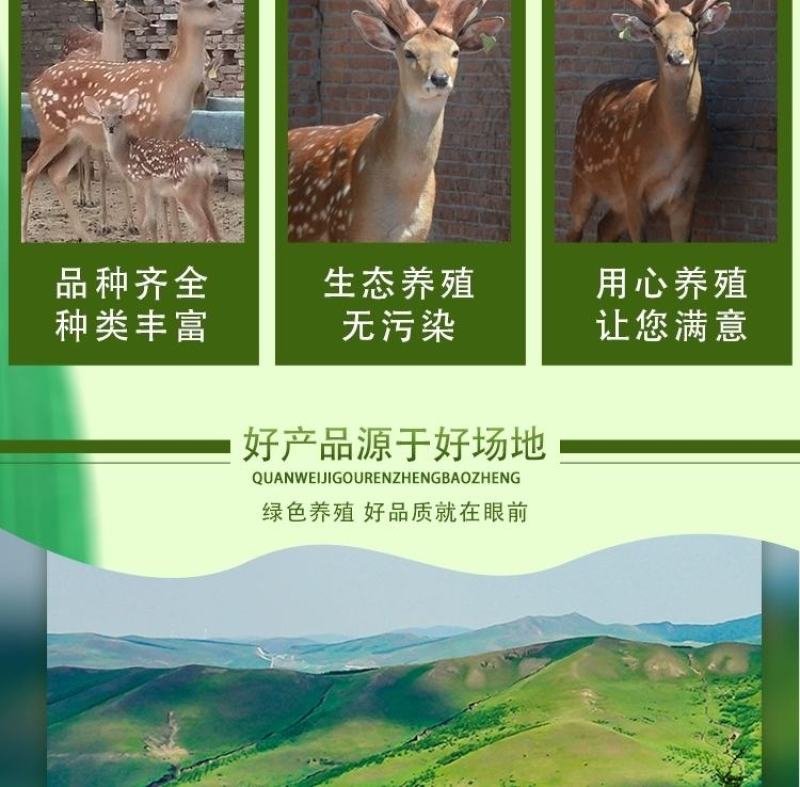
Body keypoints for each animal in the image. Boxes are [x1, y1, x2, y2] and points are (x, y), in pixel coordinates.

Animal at [60, 0, 148, 226]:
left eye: (131, 6)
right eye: (101, 2)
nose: (146, 20)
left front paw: (131, 222)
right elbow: (103, 168)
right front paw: (104, 223)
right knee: (83, 157)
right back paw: (85, 198)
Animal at [84, 92, 221, 242]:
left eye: (120, 116)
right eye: (102, 117)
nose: (111, 127)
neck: (125, 154)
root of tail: (203, 158)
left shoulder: (140, 184)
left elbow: (143, 222)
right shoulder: (155, 191)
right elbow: (151, 221)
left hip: (185, 190)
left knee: (201, 223)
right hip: (203, 190)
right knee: (213, 224)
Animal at [566, 0, 732, 243]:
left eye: (694, 31)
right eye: (656, 33)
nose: (676, 57)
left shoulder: (687, 193)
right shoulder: (632, 184)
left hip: (617, 202)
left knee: (604, 227)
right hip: (582, 176)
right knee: (574, 231)